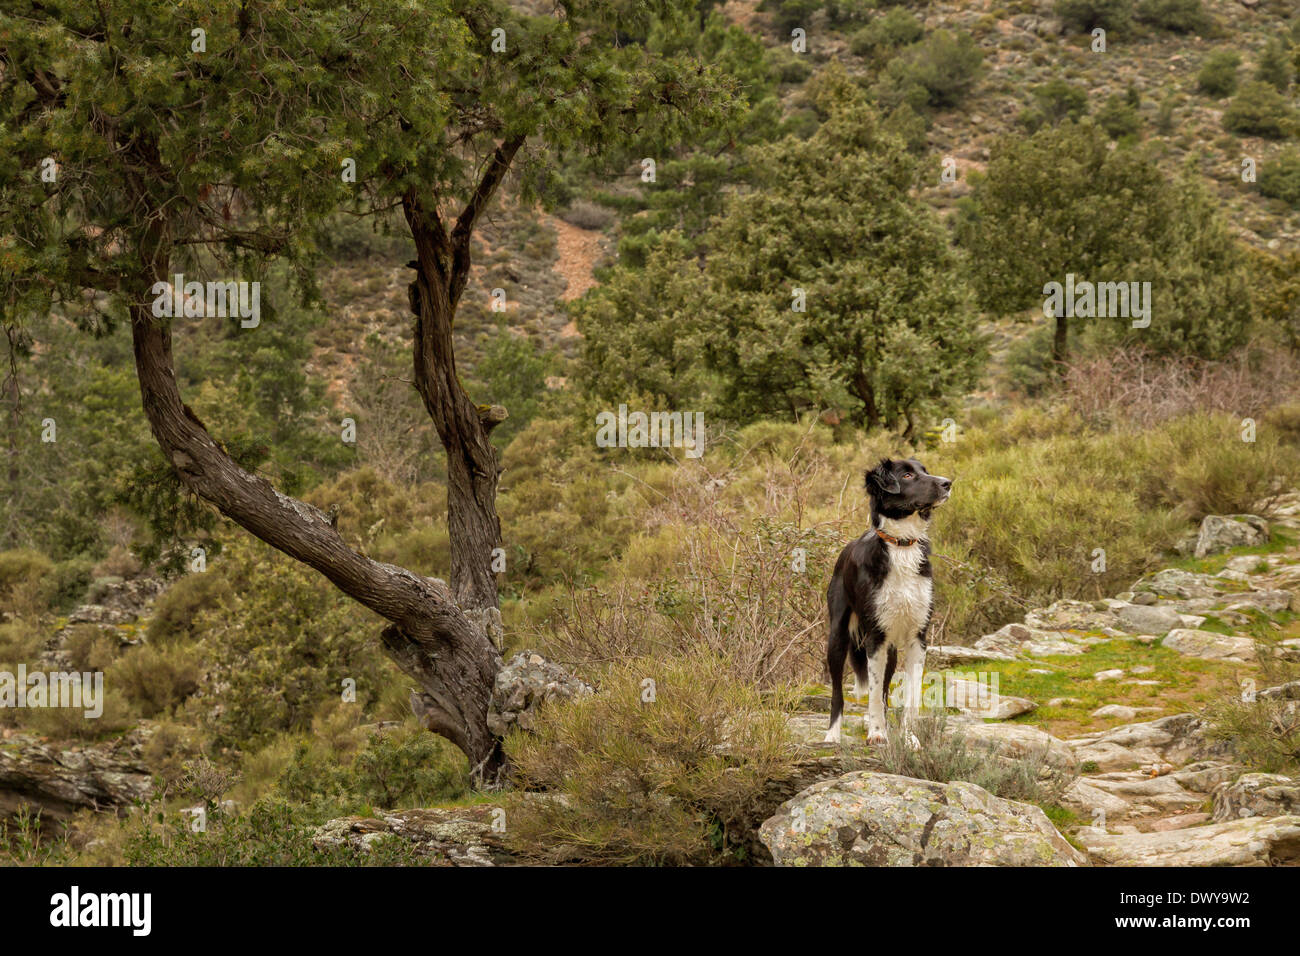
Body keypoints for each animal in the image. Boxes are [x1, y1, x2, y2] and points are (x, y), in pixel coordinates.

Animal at [826, 457, 951, 749]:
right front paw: (876, 733)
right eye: (906, 475)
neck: (902, 545)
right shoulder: (875, 637)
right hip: (837, 637)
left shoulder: (917, 637)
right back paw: (832, 735)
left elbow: (911, 698)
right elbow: (872, 693)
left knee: (884, 690)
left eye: (925, 471)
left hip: (892, 649)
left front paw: (908, 739)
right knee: (838, 691)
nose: (947, 483)